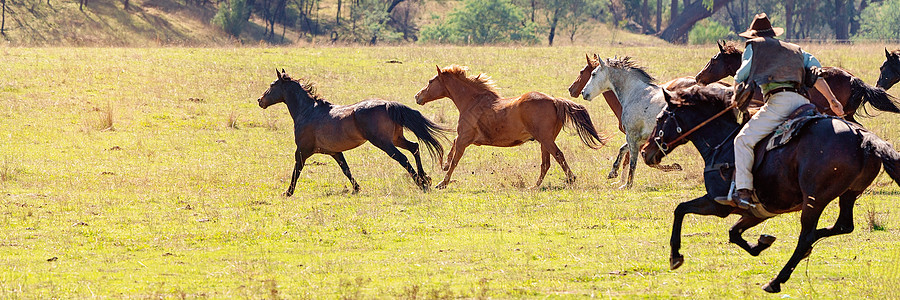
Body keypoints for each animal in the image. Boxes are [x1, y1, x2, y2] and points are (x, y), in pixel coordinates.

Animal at [258, 71, 448, 196]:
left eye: (272, 85)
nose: (260, 100)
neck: (308, 111)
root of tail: (387, 104)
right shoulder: (335, 152)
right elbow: (346, 169)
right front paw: (356, 188)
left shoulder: (302, 150)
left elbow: (297, 170)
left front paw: (288, 192)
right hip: (396, 138)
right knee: (414, 147)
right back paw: (425, 178)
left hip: (383, 142)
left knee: (403, 158)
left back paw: (421, 183)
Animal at [414, 65, 604, 190]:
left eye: (430, 81)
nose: (417, 96)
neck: (472, 101)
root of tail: (554, 100)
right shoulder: (466, 138)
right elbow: (452, 148)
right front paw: (444, 165)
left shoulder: (464, 138)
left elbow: (455, 159)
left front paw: (442, 182)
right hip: (544, 141)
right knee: (546, 163)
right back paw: (534, 186)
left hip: (546, 139)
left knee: (558, 156)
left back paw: (570, 179)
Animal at [640, 85, 900, 292]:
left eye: (660, 118)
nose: (644, 152)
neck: (722, 143)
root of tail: (862, 136)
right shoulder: (756, 211)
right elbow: (734, 234)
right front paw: (762, 242)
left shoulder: (718, 203)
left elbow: (680, 209)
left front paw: (675, 256)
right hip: (848, 195)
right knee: (843, 226)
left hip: (814, 200)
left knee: (806, 237)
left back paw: (776, 281)